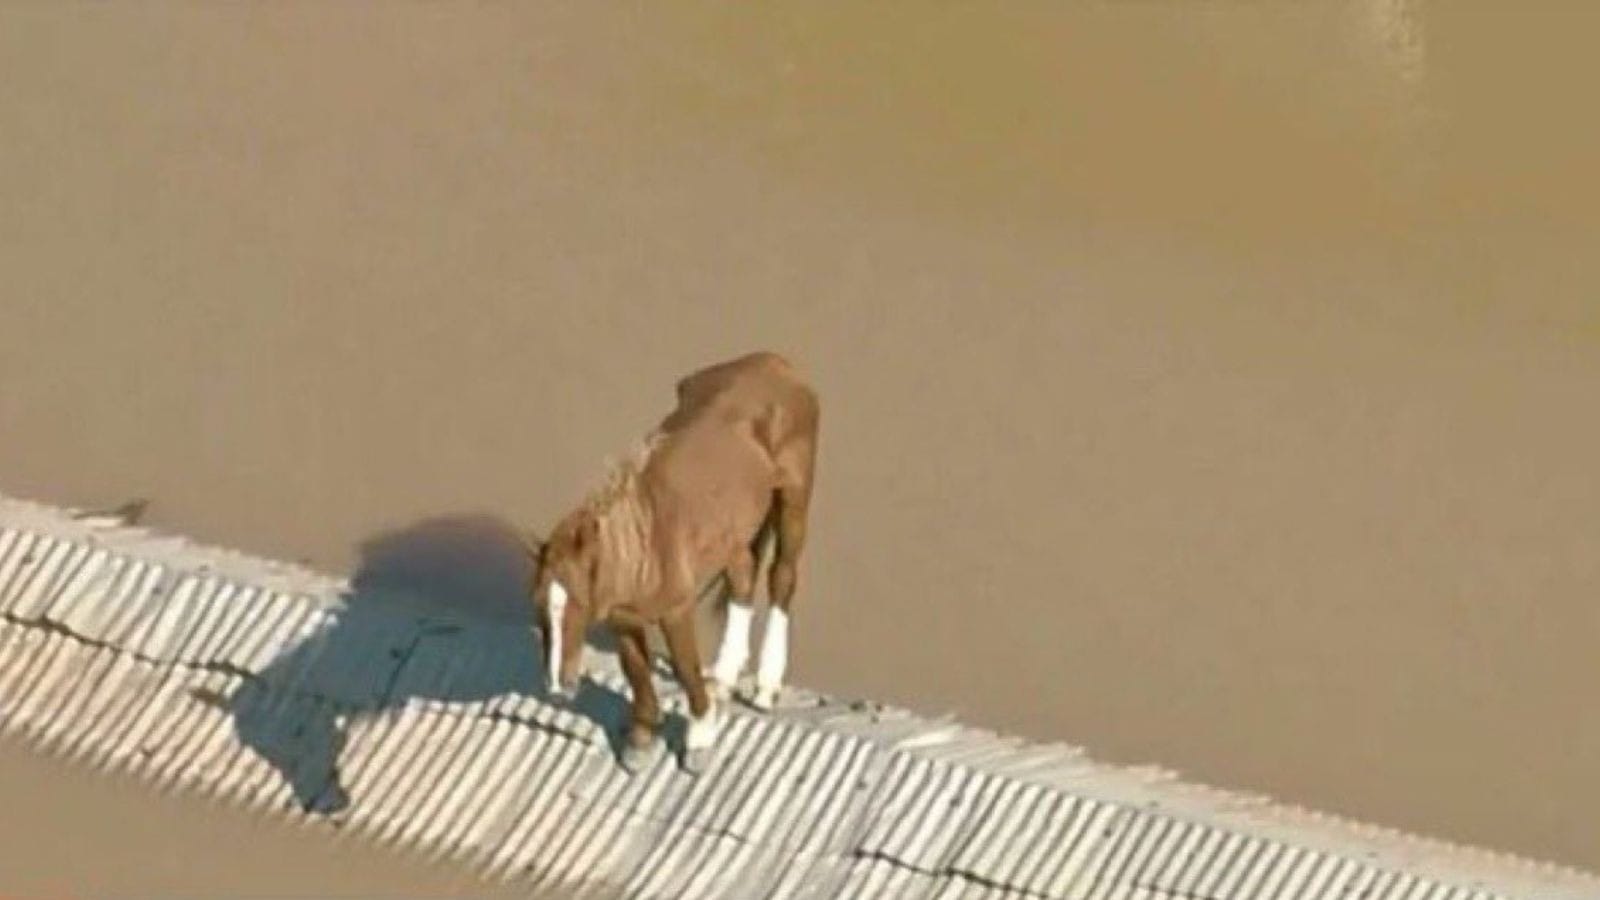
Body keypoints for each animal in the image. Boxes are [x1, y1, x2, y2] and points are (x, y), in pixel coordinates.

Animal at [527, 351, 819, 773]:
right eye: (537, 607)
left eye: (578, 602)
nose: (555, 689)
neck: (645, 541)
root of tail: (776, 363)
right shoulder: (624, 618)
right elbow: (636, 670)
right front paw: (642, 740)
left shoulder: (676, 611)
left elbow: (684, 669)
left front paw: (700, 738)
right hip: (733, 534)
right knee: (743, 579)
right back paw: (725, 676)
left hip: (794, 497)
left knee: (782, 577)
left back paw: (766, 686)